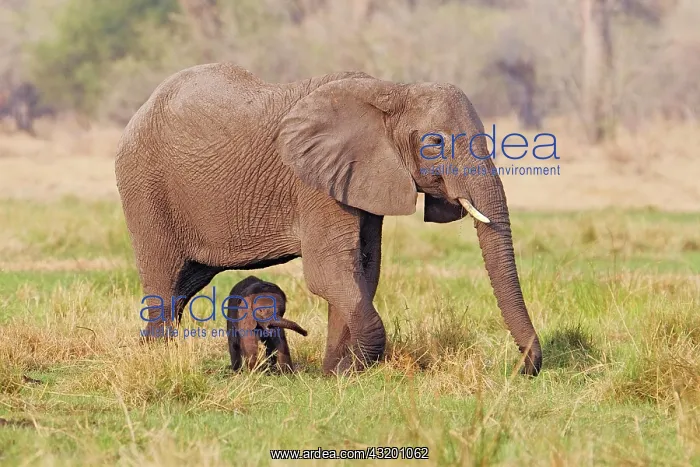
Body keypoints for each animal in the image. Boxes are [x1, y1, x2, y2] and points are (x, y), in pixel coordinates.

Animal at [115, 63, 542, 376]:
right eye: (435, 143)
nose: (521, 368)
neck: (393, 91)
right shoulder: (314, 183)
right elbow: (330, 272)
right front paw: (351, 370)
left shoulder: (359, 178)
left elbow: (363, 270)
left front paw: (335, 374)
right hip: (145, 187)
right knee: (164, 281)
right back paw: (158, 361)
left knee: (185, 285)